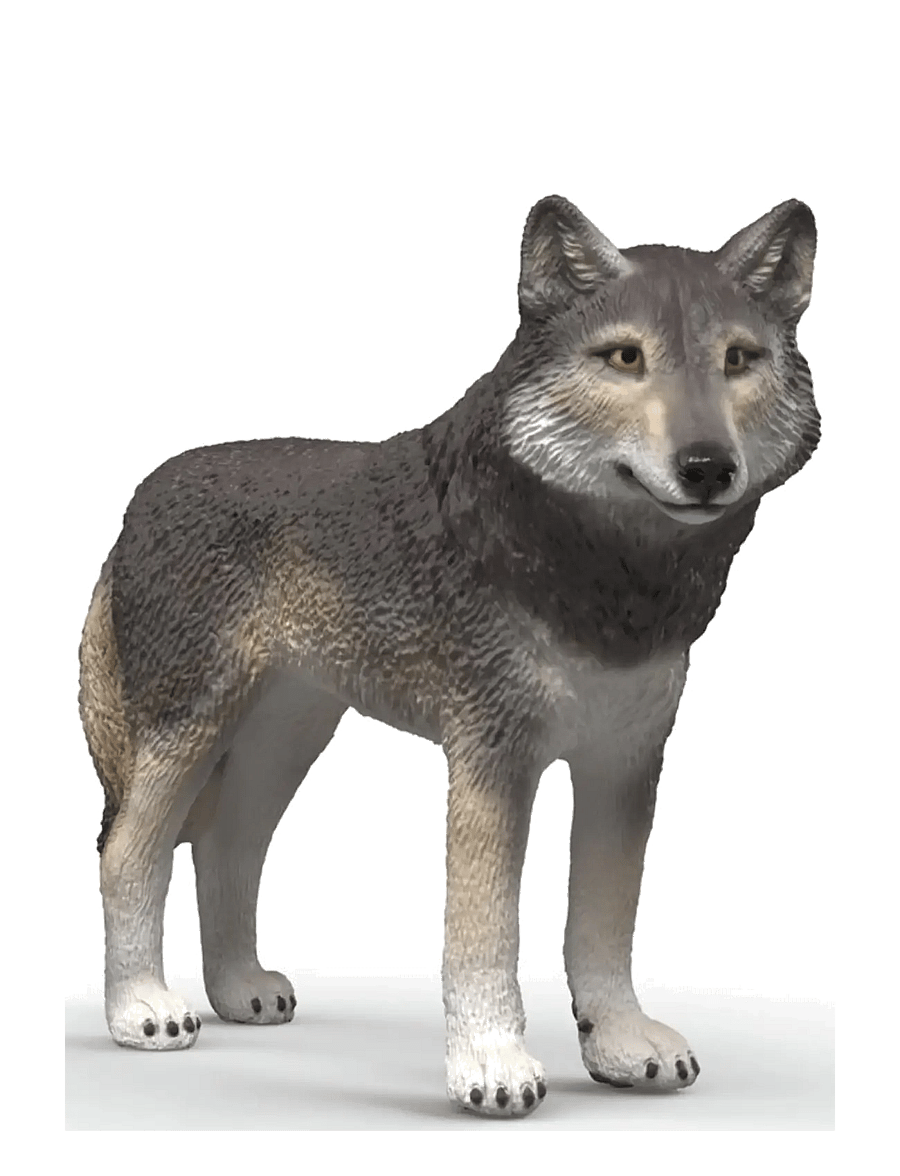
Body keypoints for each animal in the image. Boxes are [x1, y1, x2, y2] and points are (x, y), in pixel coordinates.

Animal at [78, 194, 819, 1117]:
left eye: (738, 360)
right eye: (626, 357)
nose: (708, 467)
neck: (609, 576)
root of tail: (141, 495)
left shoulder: (625, 761)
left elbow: (603, 927)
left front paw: (617, 1043)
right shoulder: (491, 758)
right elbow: (484, 935)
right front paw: (492, 1065)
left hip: (282, 741)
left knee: (226, 848)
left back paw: (239, 989)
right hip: (190, 731)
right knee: (127, 853)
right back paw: (142, 1009)